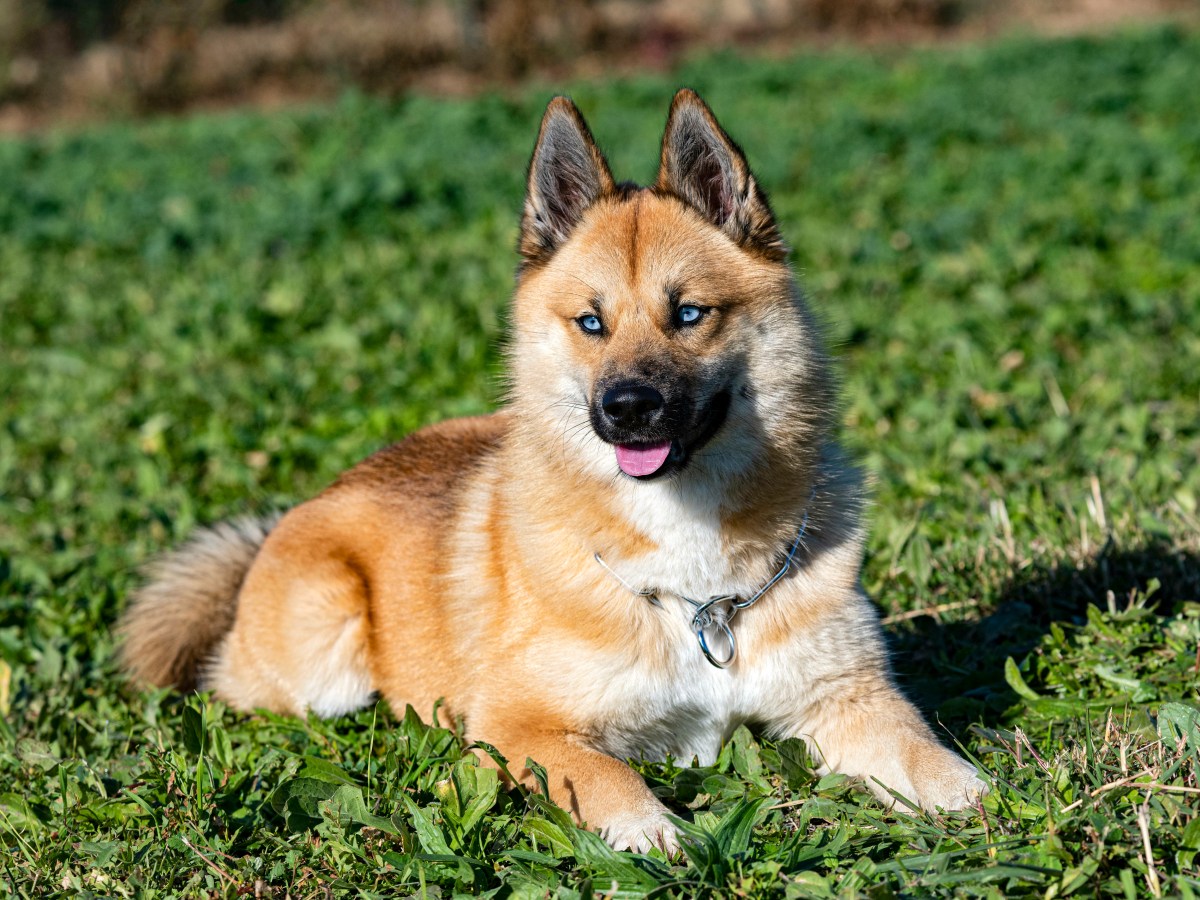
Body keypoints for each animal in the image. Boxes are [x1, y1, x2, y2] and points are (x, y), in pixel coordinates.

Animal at [119, 90, 984, 854]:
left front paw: (983, 801)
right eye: (591, 322)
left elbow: (929, 758)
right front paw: (651, 834)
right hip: (321, 658)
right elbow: (605, 778)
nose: (627, 407)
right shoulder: (519, 727)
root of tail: (297, 512)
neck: (698, 593)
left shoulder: (847, 700)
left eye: (690, 314)